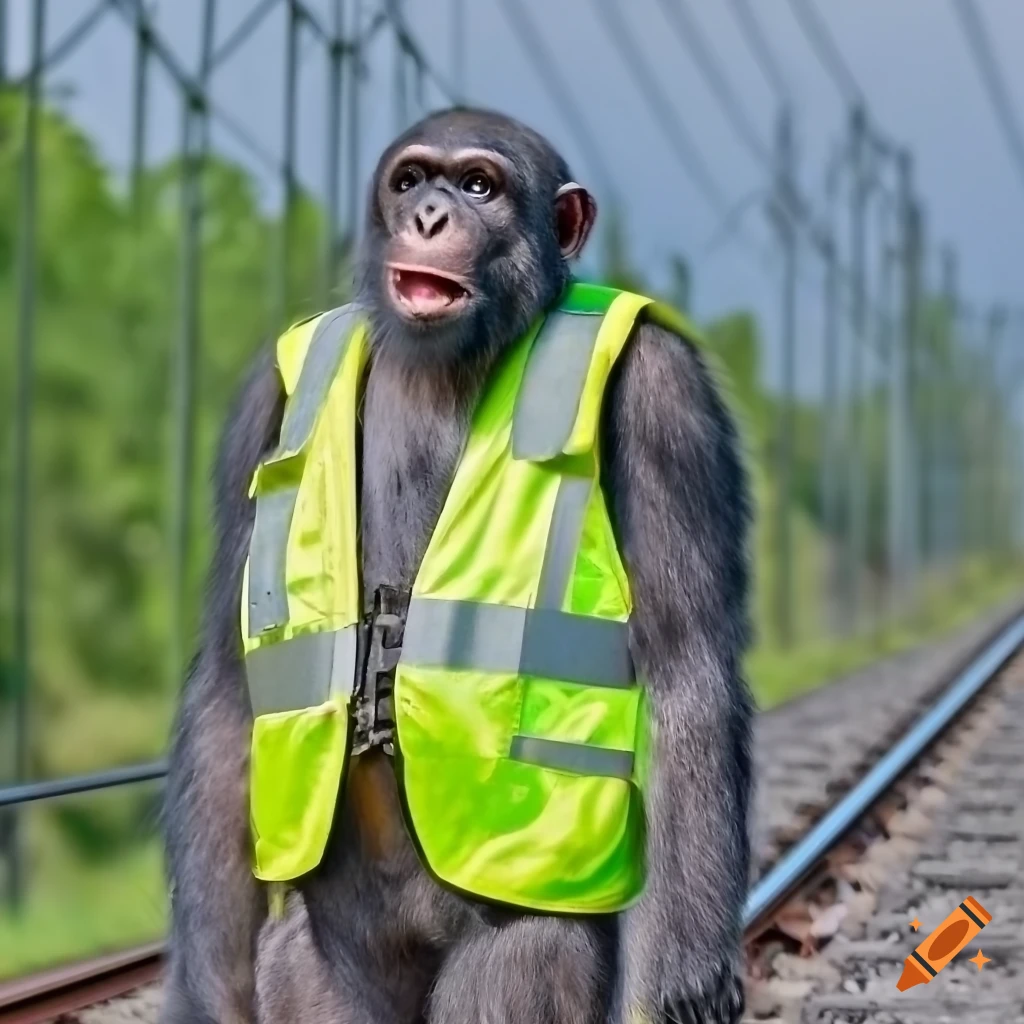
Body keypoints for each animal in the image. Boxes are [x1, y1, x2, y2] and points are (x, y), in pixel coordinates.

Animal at [159, 107, 753, 1024]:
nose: (431, 216)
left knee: (524, 966)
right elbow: (229, 688)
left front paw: (690, 971)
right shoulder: (262, 404)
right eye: (410, 180)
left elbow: (685, 662)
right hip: (329, 964)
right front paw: (203, 989)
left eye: (479, 185)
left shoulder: (666, 396)